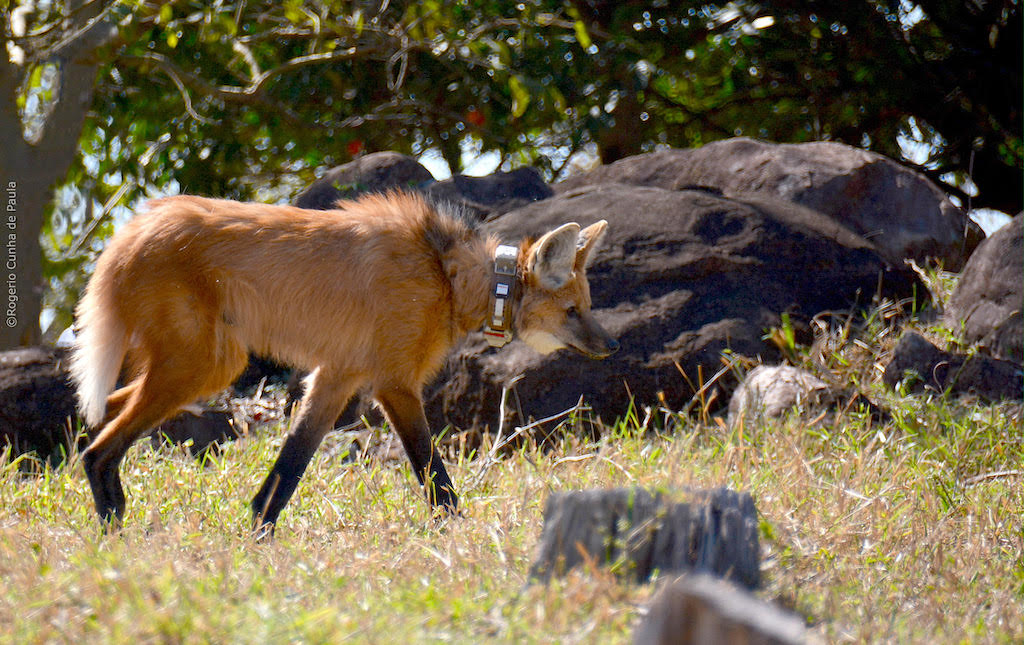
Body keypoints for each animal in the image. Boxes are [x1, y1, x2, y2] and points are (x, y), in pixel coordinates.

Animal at [72, 190, 618, 532]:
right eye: (573, 311)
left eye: (587, 306)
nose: (610, 346)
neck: (447, 276)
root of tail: (128, 232)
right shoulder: (394, 384)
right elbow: (435, 476)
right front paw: (460, 534)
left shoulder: (336, 378)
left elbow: (287, 470)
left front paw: (258, 535)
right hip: (205, 365)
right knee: (97, 449)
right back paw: (113, 532)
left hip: (205, 367)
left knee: (107, 414)